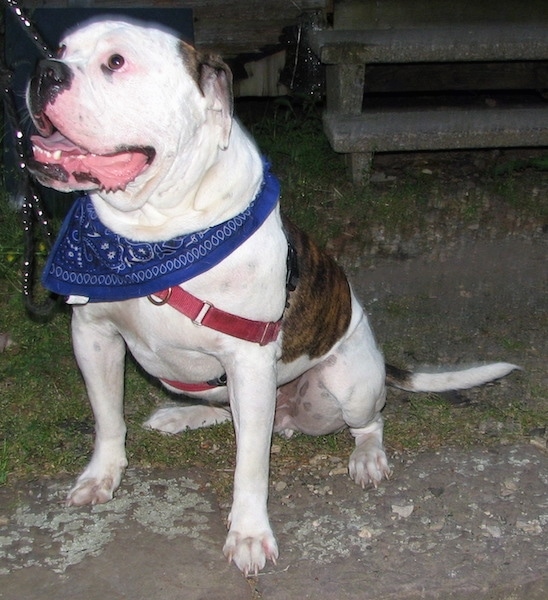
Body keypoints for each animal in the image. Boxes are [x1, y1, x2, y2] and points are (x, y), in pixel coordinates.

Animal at [26, 17, 520, 572]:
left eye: (116, 62)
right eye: (59, 47)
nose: (44, 70)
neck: (151, 239)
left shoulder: (249, 358)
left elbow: (250, 468)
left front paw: (247, 533)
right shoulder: (93, 336)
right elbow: (107, 417)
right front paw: (101, 475)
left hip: (348, 386)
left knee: (368, 422)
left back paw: (367, 457)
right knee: (229, 414)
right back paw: (182, 415)